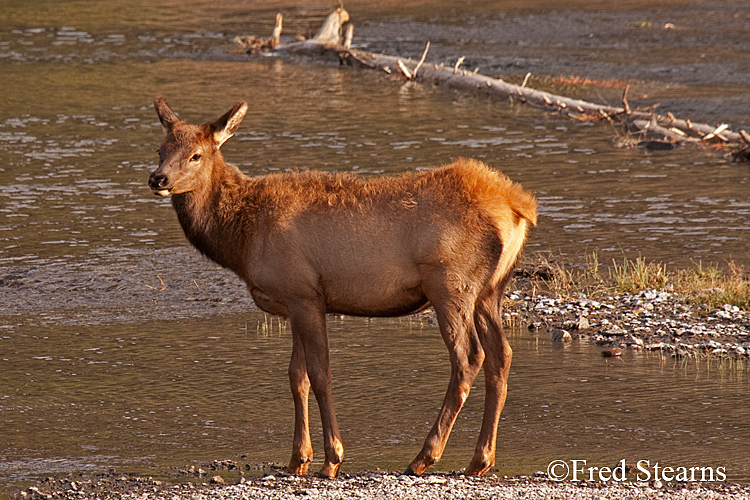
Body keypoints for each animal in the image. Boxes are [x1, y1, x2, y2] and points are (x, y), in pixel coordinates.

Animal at [148, 96, 536, 476]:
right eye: (160, 149)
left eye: (197, 154)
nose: (158, 178)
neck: (241, 240)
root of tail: (519, 207)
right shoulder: (294, 299)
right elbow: (296, 375)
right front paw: (297, 459)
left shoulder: (304, 292)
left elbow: (320, 373)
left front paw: (332, 458)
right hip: (490, 290)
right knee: (501, 355)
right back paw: (480, 460)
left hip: (450, 284)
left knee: (469, 358)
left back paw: (425, 457)